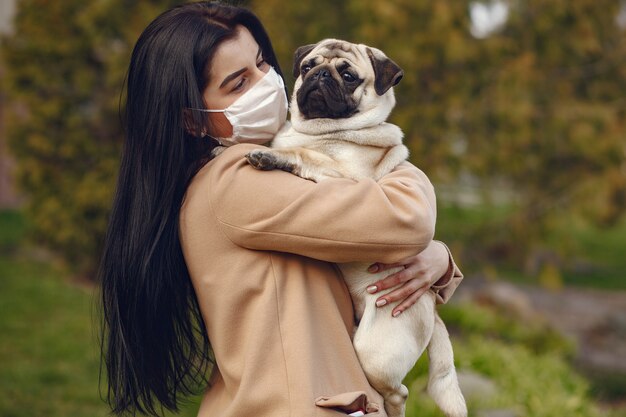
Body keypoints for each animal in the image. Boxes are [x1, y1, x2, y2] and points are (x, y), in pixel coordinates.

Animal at [246, 39, 466, 416]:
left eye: (348, 76)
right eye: (308, 66)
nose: (320, 75)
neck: (320, 131)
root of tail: (433, 309)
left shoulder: (349, 181)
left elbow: (307, 156)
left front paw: (273, 156)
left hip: (375, 352)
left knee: (399, 392)